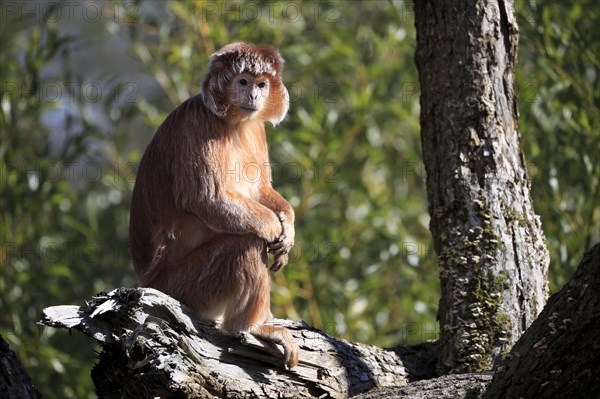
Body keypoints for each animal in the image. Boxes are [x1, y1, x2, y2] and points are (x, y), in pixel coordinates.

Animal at [132, 43, 300, 368]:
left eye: (262, 84)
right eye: (243, 82)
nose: (254, 96)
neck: (233, 121)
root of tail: (145, 280)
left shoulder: (256, 129)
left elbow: (260, 190)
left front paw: (288, 227)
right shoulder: (198, 122)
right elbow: (207, 198)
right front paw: (272, 227)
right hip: (184, 286)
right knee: (247, 243)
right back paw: (252, 326)